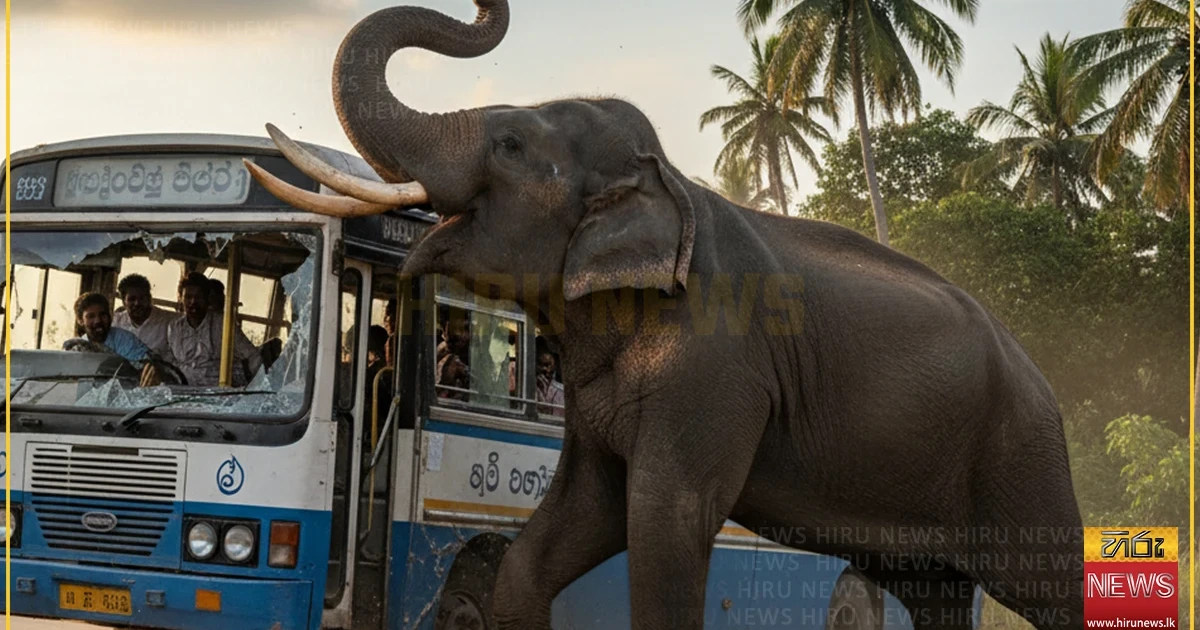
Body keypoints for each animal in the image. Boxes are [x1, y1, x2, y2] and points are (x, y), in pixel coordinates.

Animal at [245, 1, 1086, 628]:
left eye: (510, 144)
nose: (487, 4)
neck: (668, 180)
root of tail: (1041, 372)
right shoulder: (596, 401)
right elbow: (557, 536)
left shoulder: (716, 372)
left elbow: (662, 527)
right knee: (932, 593)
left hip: (1021, 457)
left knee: (1046, 589)